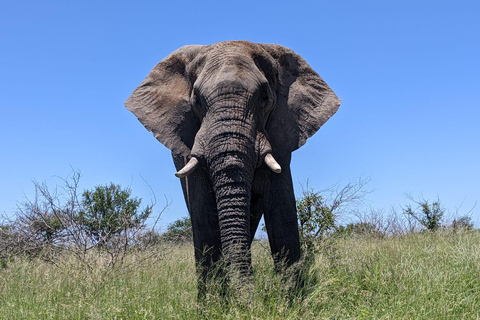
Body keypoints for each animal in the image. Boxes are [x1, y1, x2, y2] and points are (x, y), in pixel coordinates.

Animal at [125, 40, 340, 296]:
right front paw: (213, 302)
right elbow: (204, 218)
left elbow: (282, 215)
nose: (253, 297)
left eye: (265, 98)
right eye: (196, 102)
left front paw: (292, 301)